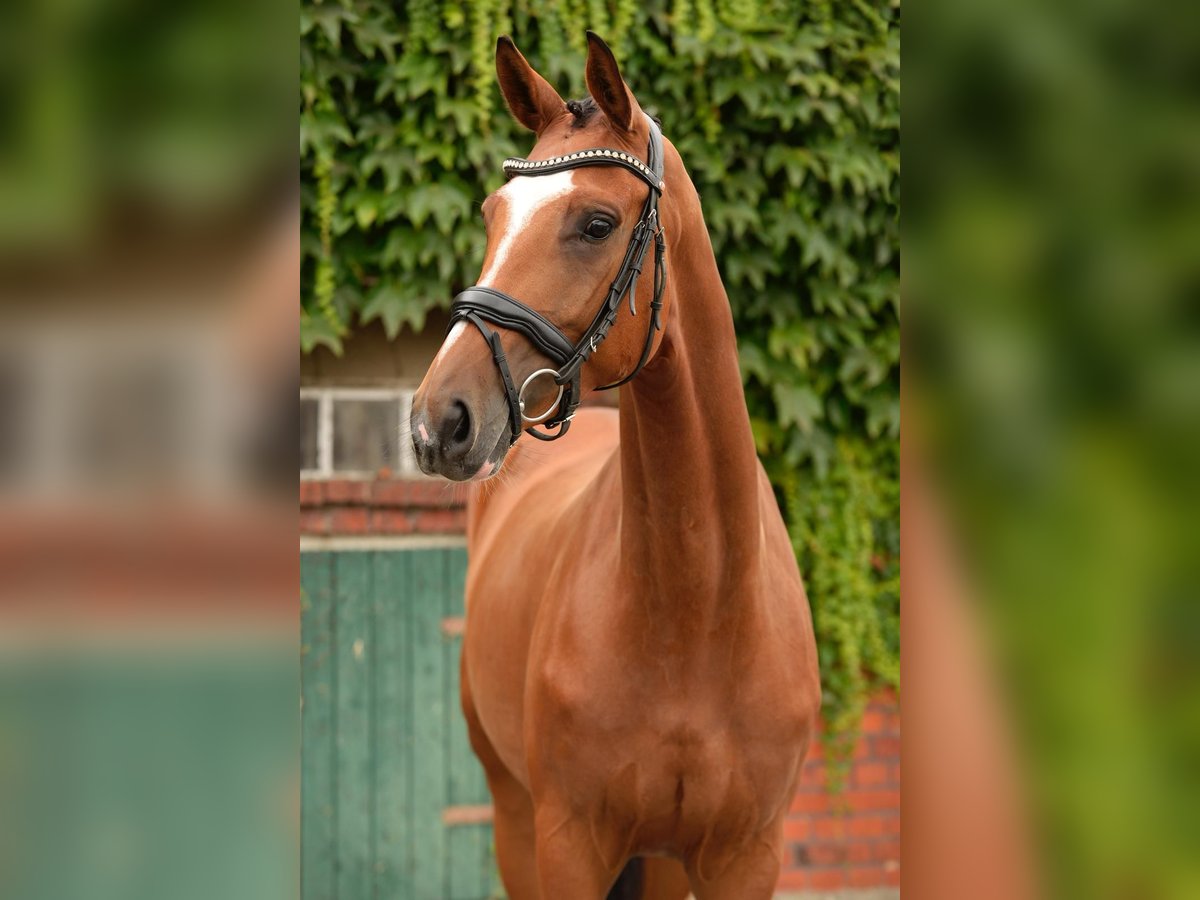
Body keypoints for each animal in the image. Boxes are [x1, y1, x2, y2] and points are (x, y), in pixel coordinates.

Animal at [410, 33, 821, 899]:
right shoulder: (568, 843)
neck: (697, 611)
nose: (439, 422)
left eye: (596, 223)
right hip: (514, 818)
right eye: (493, 214)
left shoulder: (748, 855)